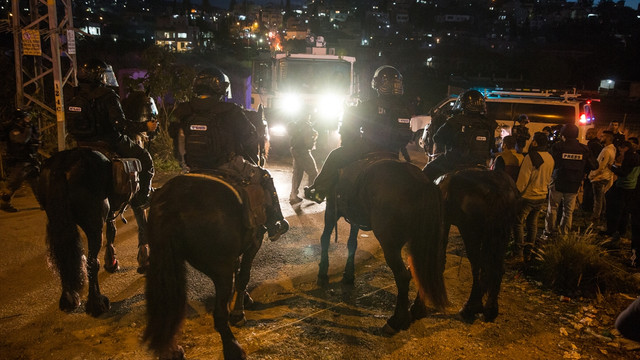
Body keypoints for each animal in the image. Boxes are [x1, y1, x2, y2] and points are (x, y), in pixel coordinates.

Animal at [318, 159, 448, 334]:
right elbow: (352, 243)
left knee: (403, 276)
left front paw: (323, 273)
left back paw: (397, 321)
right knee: (422, 270)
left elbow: (325, 238)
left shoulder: (332, 208)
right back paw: (417, 309)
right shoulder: (354, 217)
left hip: (390, 244)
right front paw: (348, 275)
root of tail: (424, 184)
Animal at [438, 167, 524, 322]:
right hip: (501, 234)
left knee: (477, 266)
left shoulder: (444, 221)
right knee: (496, 268)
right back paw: (490, 309)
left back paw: (470, 308)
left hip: (470, 231)